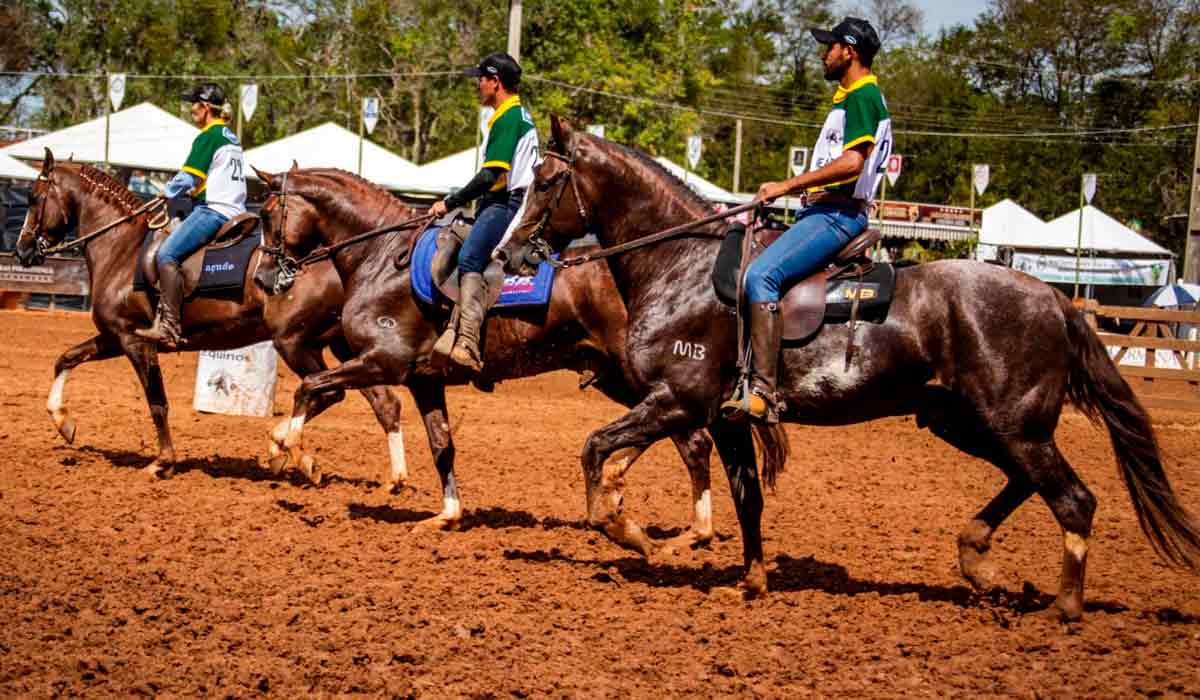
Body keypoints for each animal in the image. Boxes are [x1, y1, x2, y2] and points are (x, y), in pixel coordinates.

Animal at [11, 147, 410, 487]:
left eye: (33, 198)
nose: (22, 249)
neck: (121, 248)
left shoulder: (134, 341)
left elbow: (157, 402)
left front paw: (163, 462)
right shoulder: (113, 337)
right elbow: (66, 358)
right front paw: (63, 422)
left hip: (294, 343)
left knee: (327, 392)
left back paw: (289, 452)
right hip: (344, 347)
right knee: (382, 401)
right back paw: (391, 477)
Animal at [254, 165, 739, 542]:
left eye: (265, 213)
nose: (261, 277)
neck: (379, 256)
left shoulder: (382, 361)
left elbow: (310, 387)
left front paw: (292, 449)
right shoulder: (422, 379)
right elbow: (441, 445)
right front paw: (447, 515)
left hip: (644, 378)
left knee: (689, 438)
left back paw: (669, 517)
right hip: (618, 378)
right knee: (680, 437)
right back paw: (641, 499)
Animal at [494, 116, 1200, 624]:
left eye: (547, 182)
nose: (509, 253)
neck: (681, 268)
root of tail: (1056, 299)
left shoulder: (677, 400)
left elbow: (595, 449)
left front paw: (627, 530)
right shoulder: (723, 419)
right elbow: (747, 498)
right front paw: (751, 582)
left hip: (1012, 425)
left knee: (1074, 499)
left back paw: (1065, 607)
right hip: (967, 421)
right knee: (1030, 484)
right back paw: (978, 560)